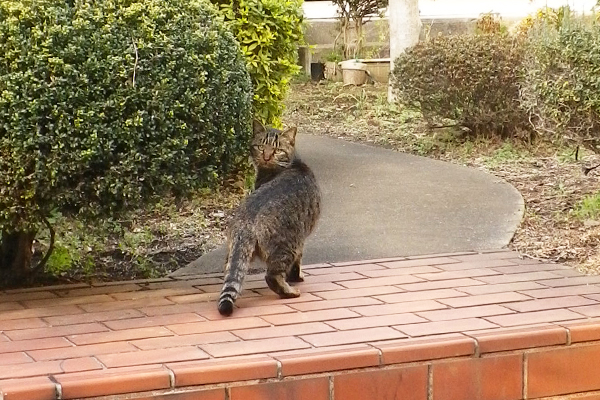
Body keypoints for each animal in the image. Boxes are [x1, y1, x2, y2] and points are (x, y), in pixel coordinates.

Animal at [218, 121, 322, 316]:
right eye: (261, 147)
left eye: (276, 150)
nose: (266, 157)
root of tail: (245, 223)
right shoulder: (301, 241)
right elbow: (298, 262)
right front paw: (297, 277)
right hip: (288, 244)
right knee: (272, 276)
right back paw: (290, 291)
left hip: (236, 252)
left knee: (231, 272)